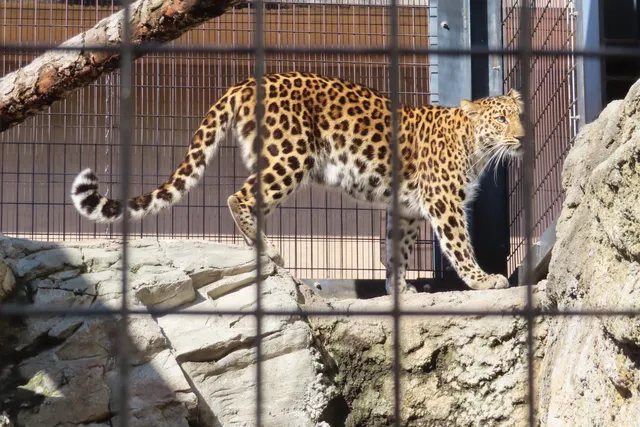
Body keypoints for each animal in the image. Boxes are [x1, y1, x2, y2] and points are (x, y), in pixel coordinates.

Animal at [71, 71, 524, 294]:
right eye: (501, 119)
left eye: (517, 116)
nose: (523, 136)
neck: (474, 145)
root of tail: (244, 83)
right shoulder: (443, 202)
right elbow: (459, 245)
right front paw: (484, 280)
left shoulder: (406, 209)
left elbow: (395, 252)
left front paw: (400, 291)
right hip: (291, 157)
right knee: (238, 197)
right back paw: (269, 252)